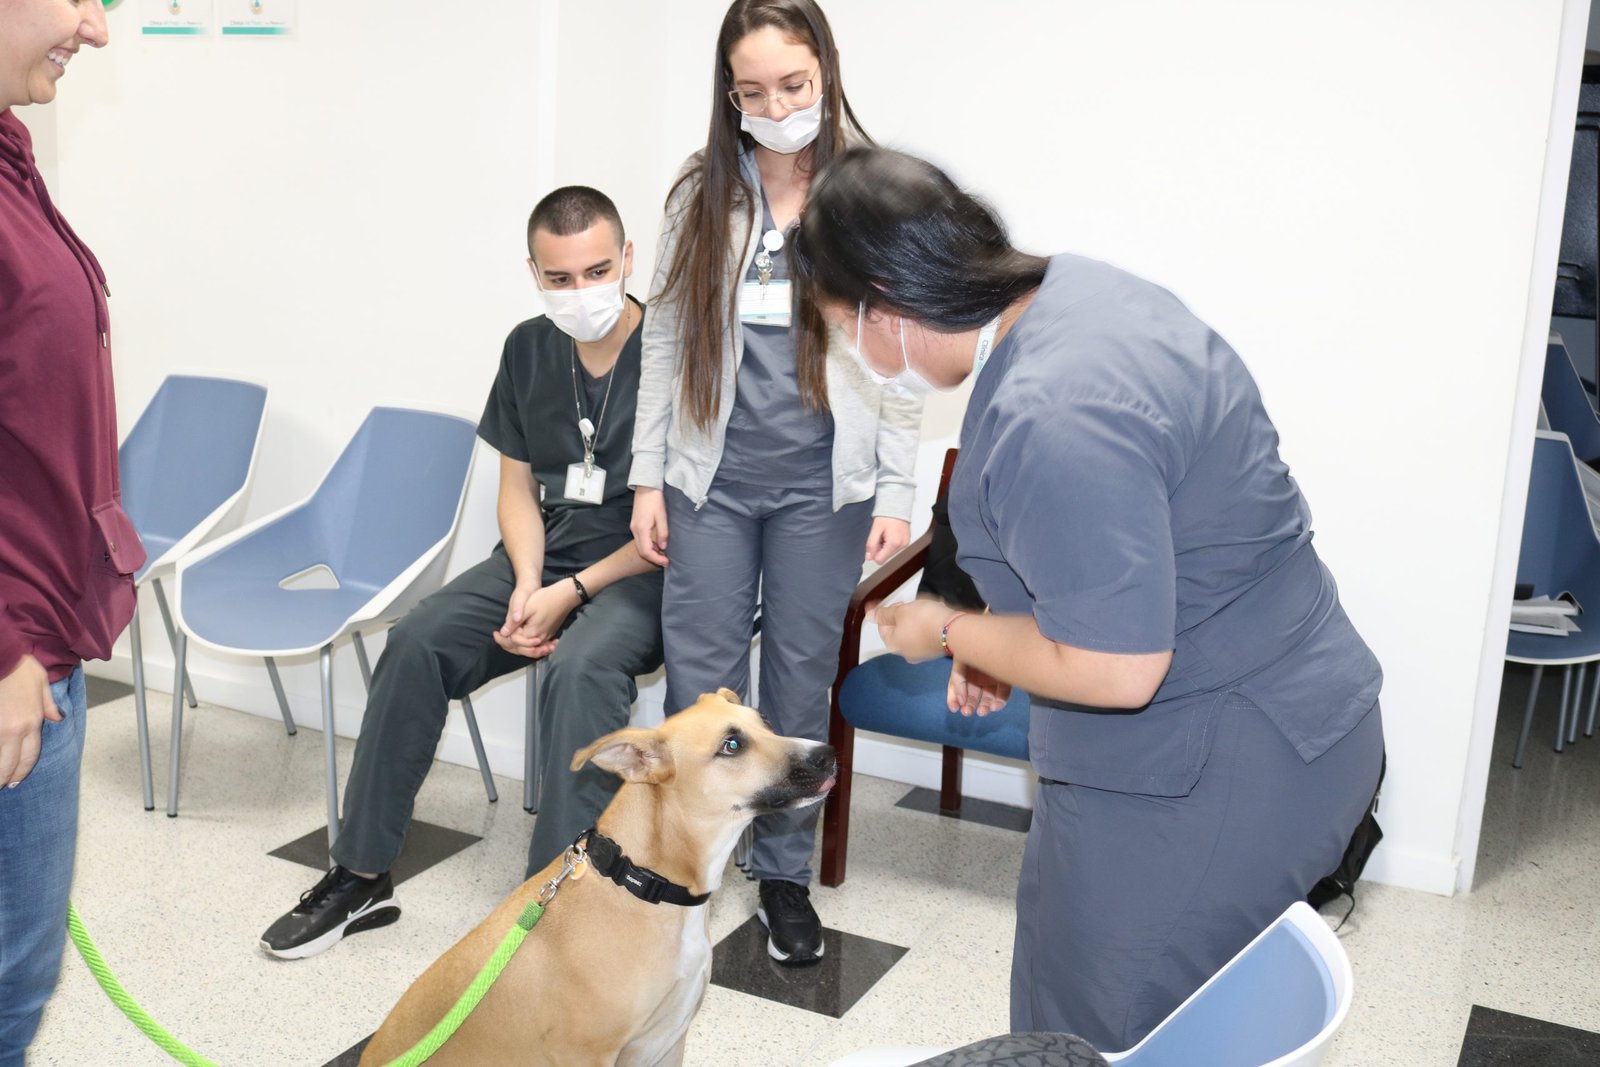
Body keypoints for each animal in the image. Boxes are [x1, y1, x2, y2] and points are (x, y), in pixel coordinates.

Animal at [357, 688, 836, 1067]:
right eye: (732, 744)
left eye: (766, 721)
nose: (828, 755)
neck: (644, 883)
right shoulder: (588, 1055)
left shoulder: (670, 1042)